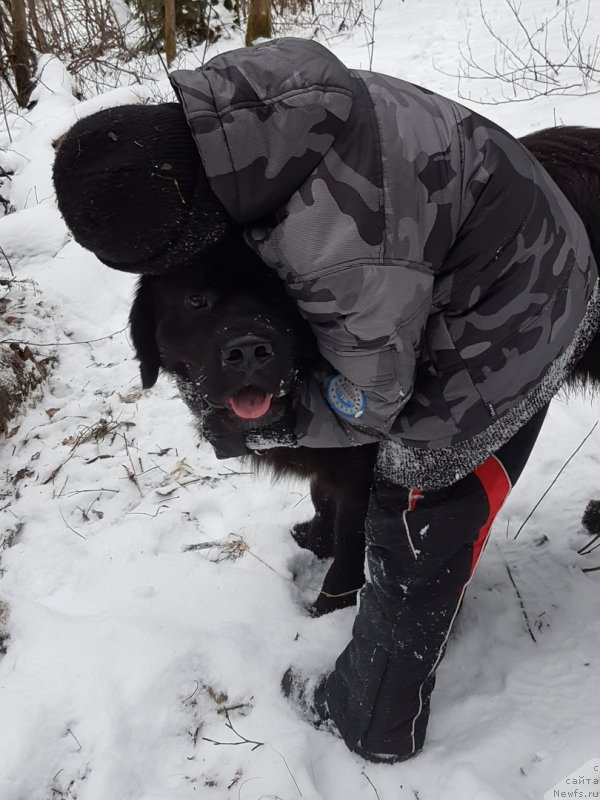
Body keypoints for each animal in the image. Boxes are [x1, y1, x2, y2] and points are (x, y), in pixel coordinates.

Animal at [129, 125, 600, 616]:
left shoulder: (364, 472)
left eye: (281, 295)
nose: (249, 350)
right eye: (196, 300)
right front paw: (317, 537)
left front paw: (327, 606)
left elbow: (354, 537)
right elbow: (322, 496)